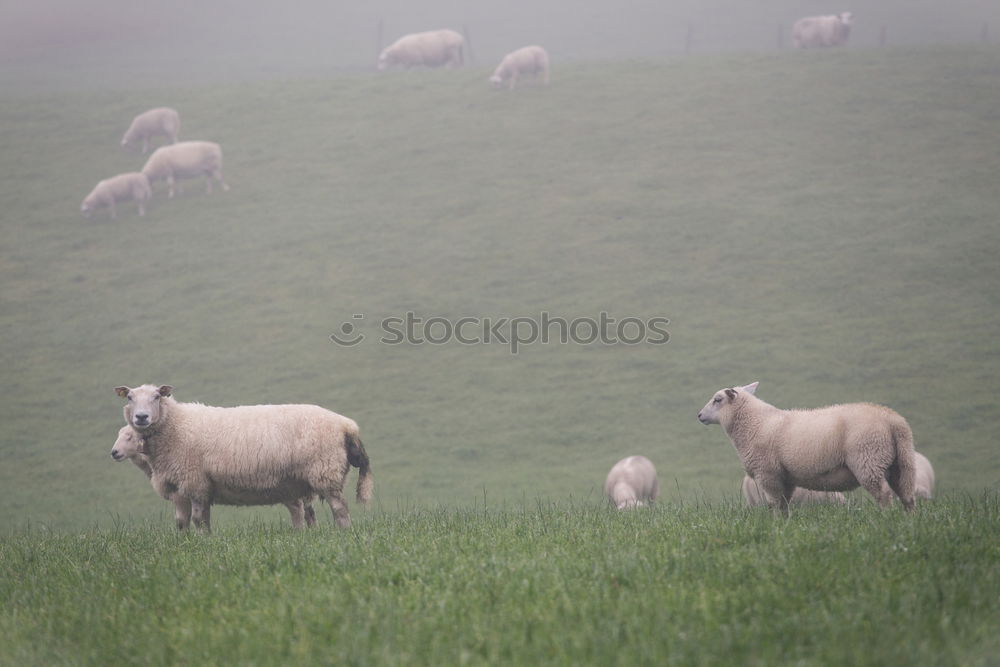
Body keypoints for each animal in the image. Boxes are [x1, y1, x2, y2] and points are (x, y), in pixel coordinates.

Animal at [108, 428, 316, 532]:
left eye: (129, 436)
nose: (114, 452)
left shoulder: (185, 490)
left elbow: (185, 520)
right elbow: (197, 518)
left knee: (299, 509)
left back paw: (301, 534)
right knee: (307, 511)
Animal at [700, 380, 916, 516]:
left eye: (718, 399)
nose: (699, 415)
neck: (755, 423)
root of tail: (894, 421)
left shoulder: (768, 473)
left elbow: (774, 504)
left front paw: (775, 526)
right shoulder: (785, 477)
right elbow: (784, 505)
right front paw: (784, 525)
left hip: (868, 458)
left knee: (884, 494)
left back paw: (886, 518)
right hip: (900, 462)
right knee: (906, 494)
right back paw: (908, 521)